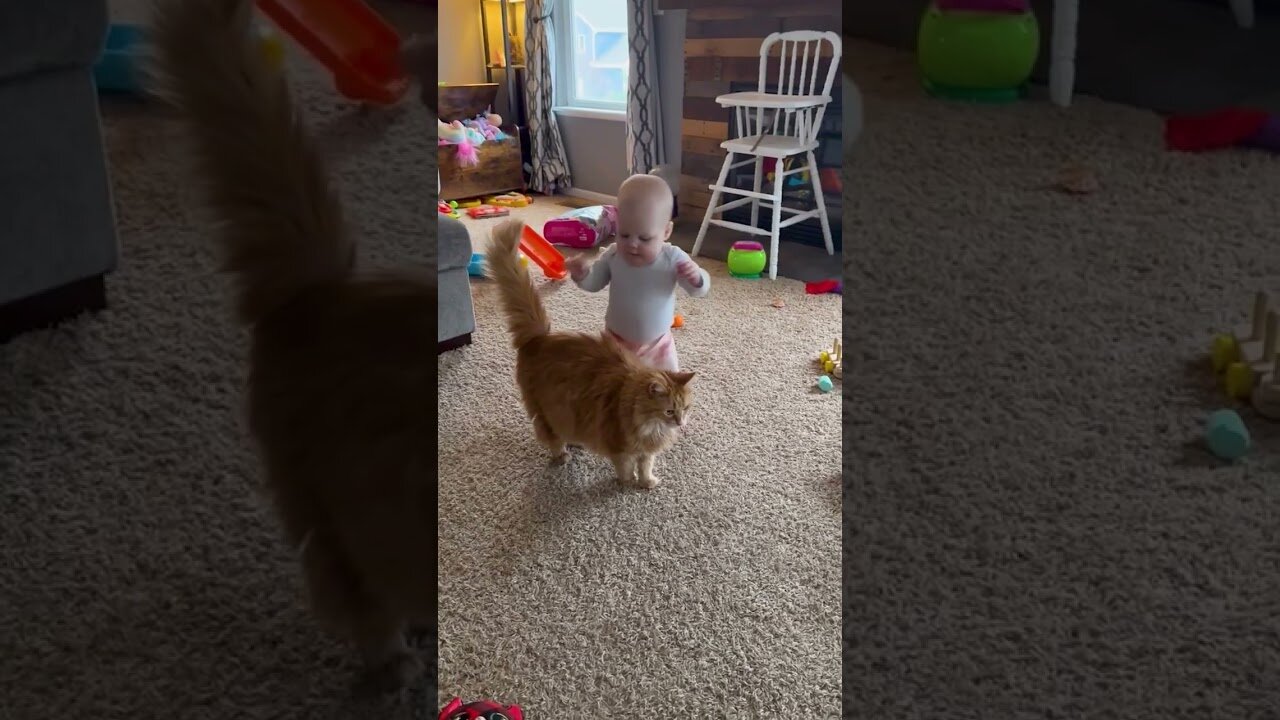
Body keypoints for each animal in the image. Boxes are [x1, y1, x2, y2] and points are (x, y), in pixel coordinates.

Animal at [486, 221, 691, 484]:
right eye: (669, 411)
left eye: (685, 409)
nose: (680, 422)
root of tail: (540, 337)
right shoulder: (620, 448)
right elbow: (626, 469)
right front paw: (625, 485)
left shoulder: (646, 451)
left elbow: (646, 466)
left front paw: (646, 483)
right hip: (547, 411)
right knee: (552, 437)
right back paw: (562, 456)